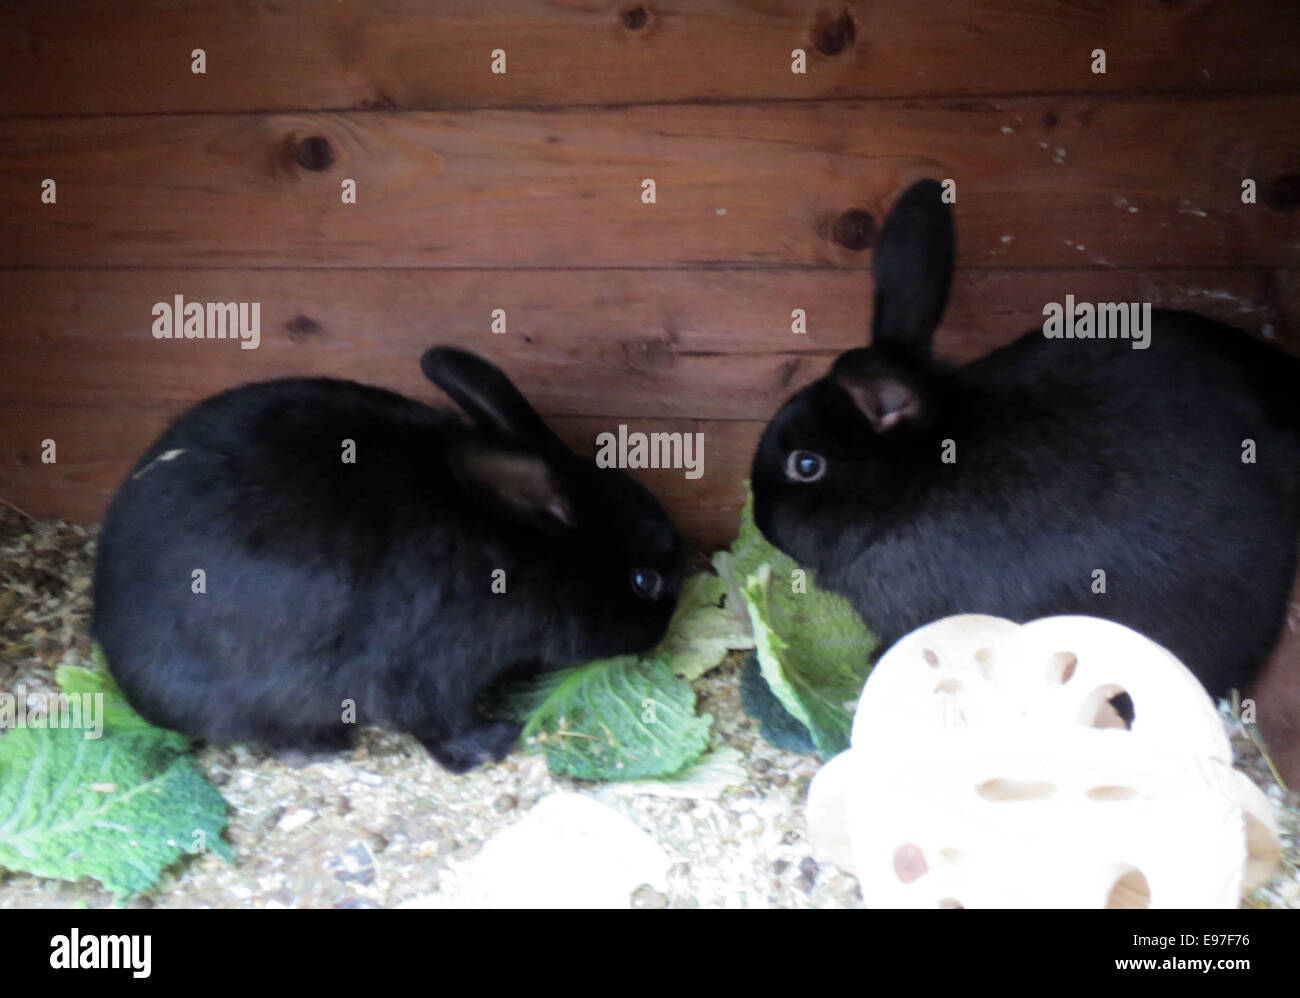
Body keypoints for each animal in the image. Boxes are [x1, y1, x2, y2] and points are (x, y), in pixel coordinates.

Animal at [94, 348, 686, 774]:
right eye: (644, 580)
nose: (662, 633)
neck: (517, 553)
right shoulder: (428, 665)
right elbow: (438, 721)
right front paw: (495, 742)